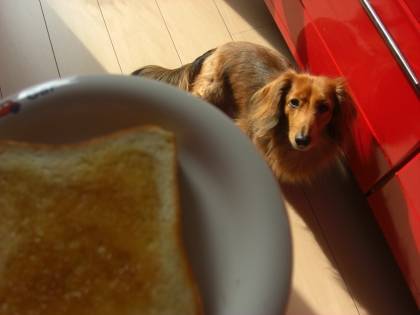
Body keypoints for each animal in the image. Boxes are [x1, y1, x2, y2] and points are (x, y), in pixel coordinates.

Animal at [132, 42, 358, 185]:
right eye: (293, 102)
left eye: (324, 108)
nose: (302, 140)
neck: (283, 138)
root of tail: (218, 48)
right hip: (211, 88)